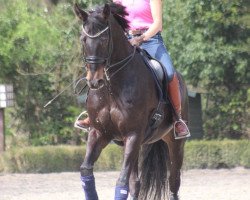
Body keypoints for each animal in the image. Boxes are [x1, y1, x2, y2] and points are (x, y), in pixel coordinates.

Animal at [73, 3, 188, 200]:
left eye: (104, 39)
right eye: (83, 39)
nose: (95, 81)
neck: (112, 89)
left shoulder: (133, 134)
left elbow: (121, 181)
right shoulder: (99, 132)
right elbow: (86, 170)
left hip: (175, 142)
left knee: (174, 181)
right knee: (136, 183)